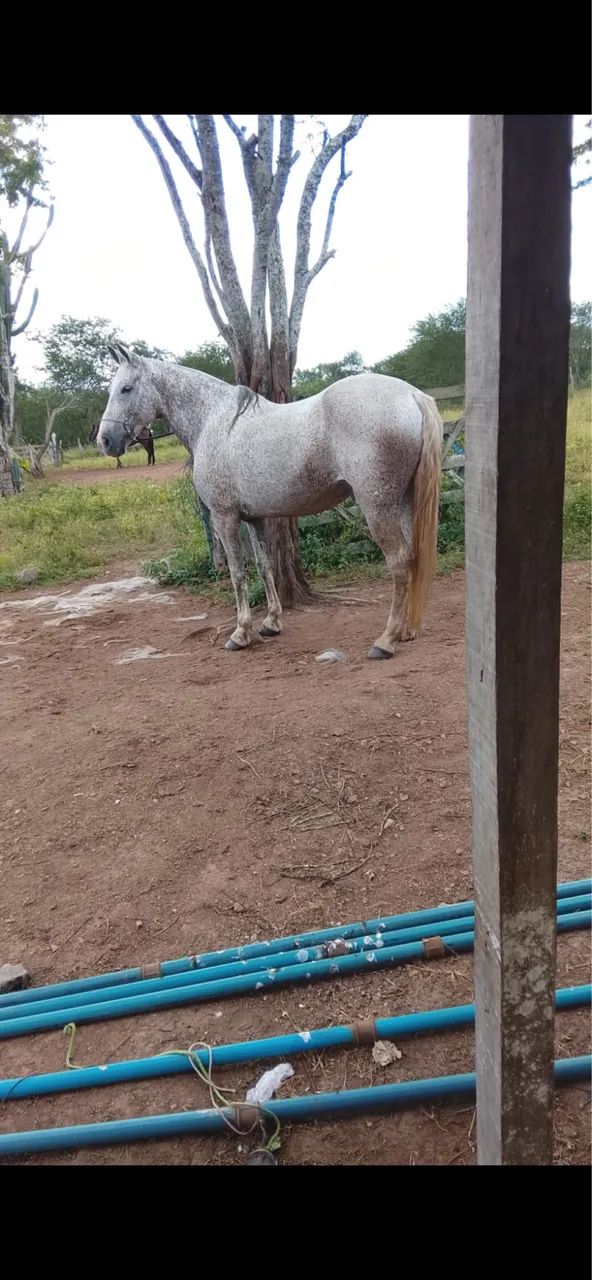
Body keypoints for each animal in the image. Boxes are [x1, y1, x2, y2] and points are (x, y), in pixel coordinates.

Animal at [96, 343, 443, 659]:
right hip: (405, 503)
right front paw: (271, 623)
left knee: (399, 562)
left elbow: (237, 573)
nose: (105, 441)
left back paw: (386, 640)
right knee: (413, 556)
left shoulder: (224, 517)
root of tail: (413, 396)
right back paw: (406, 631)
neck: (214, 419)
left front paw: (240, 633)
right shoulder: (256, 518)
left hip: (378, 507)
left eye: (126, 388)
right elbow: (265, 567)